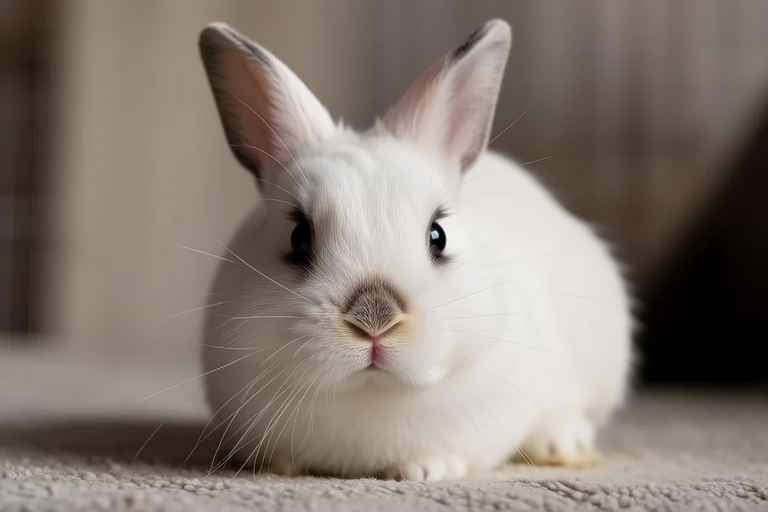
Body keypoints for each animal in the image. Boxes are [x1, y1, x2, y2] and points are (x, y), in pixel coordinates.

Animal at [197, 18, 633, 482]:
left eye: (438, 236)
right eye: (299, 237)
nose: (375, 319)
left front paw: (428, 470)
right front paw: (282, 467)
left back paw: (561, 443)